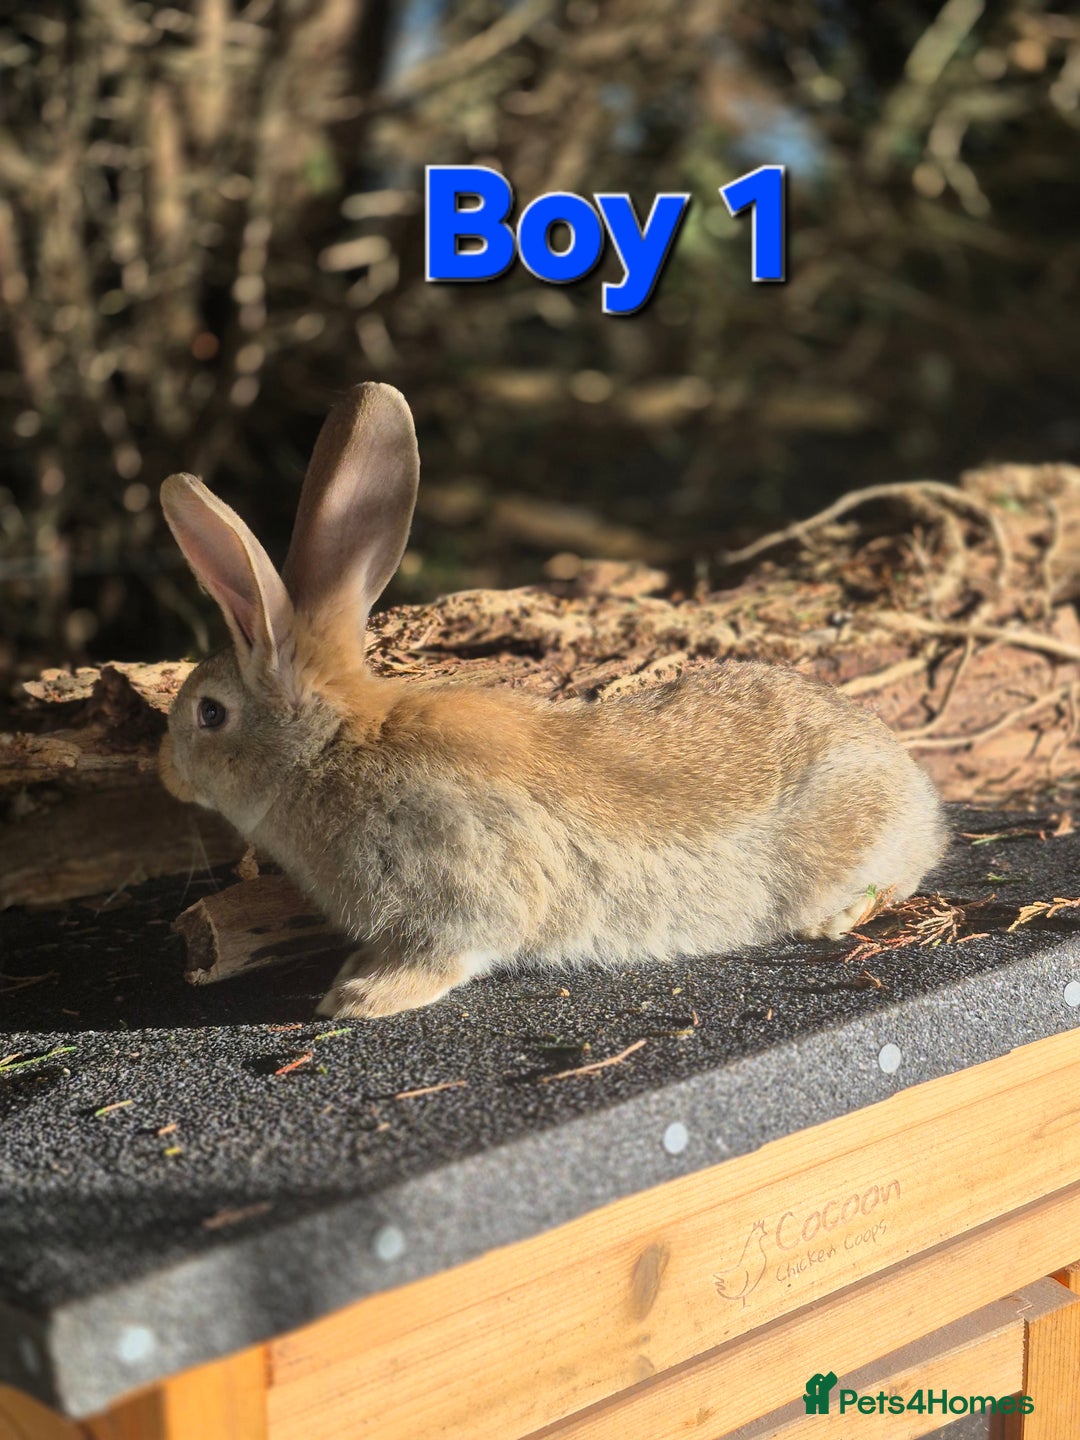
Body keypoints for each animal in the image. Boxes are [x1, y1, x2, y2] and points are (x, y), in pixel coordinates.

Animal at [158, 382, 947, 1020]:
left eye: (209, 712)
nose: (164, 773)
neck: (331, 745)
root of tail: (918, 794)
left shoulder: (463, 886)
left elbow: (455, 949)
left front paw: (361, 997)